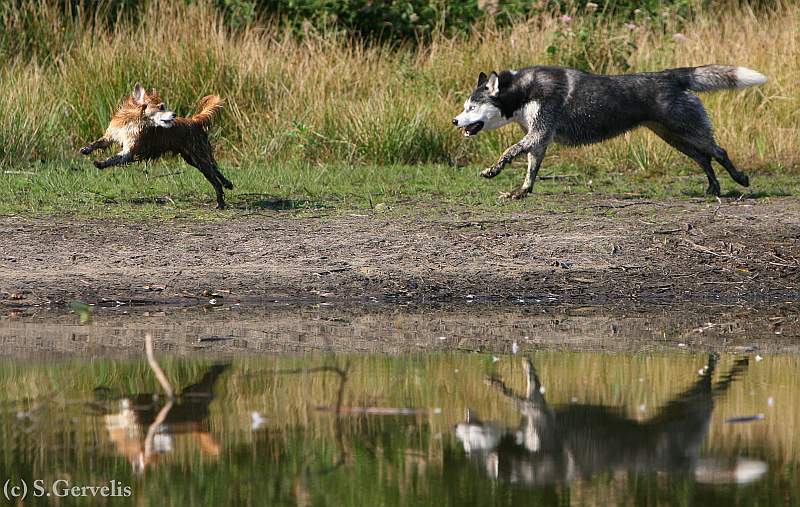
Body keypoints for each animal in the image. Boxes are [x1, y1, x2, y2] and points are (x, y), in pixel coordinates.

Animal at [79, 84, 233, 207]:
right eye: (161, 107)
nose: (174, 114)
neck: (134, 120)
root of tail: (194, 121)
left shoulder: (129, 151)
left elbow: (113, 158)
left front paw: (101, 163)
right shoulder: (111, 136)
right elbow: (98, 142)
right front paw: (86, 149)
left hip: (198, 157)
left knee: (215, 180)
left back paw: (220, 202)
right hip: (193, 158)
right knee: (215, 169)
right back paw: (228, 184)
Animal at [454, 67, 764, 200]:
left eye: (471, 106)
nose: (454, 120)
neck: (523, 91)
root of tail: (670, 75)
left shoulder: (538, 133)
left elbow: (509, 152)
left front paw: (493, 171)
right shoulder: (539, 140)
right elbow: (530, 170)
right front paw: (521, 192)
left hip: (688, 131)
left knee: (719, 151)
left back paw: (740, 179)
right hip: (676, 138)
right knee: (704, 159)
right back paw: (714, 188)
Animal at [456, 356, 764, 486]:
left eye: (470, 446)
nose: (455, 427)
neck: (526, 463)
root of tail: (680, 466)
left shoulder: (539, 412)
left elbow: (517, 396)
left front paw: (498, 384)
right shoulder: (535, 412)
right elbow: (528, 382)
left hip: (691, 405)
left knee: (714, 385)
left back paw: (732, 365)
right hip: (682, 407)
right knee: (717, 387)